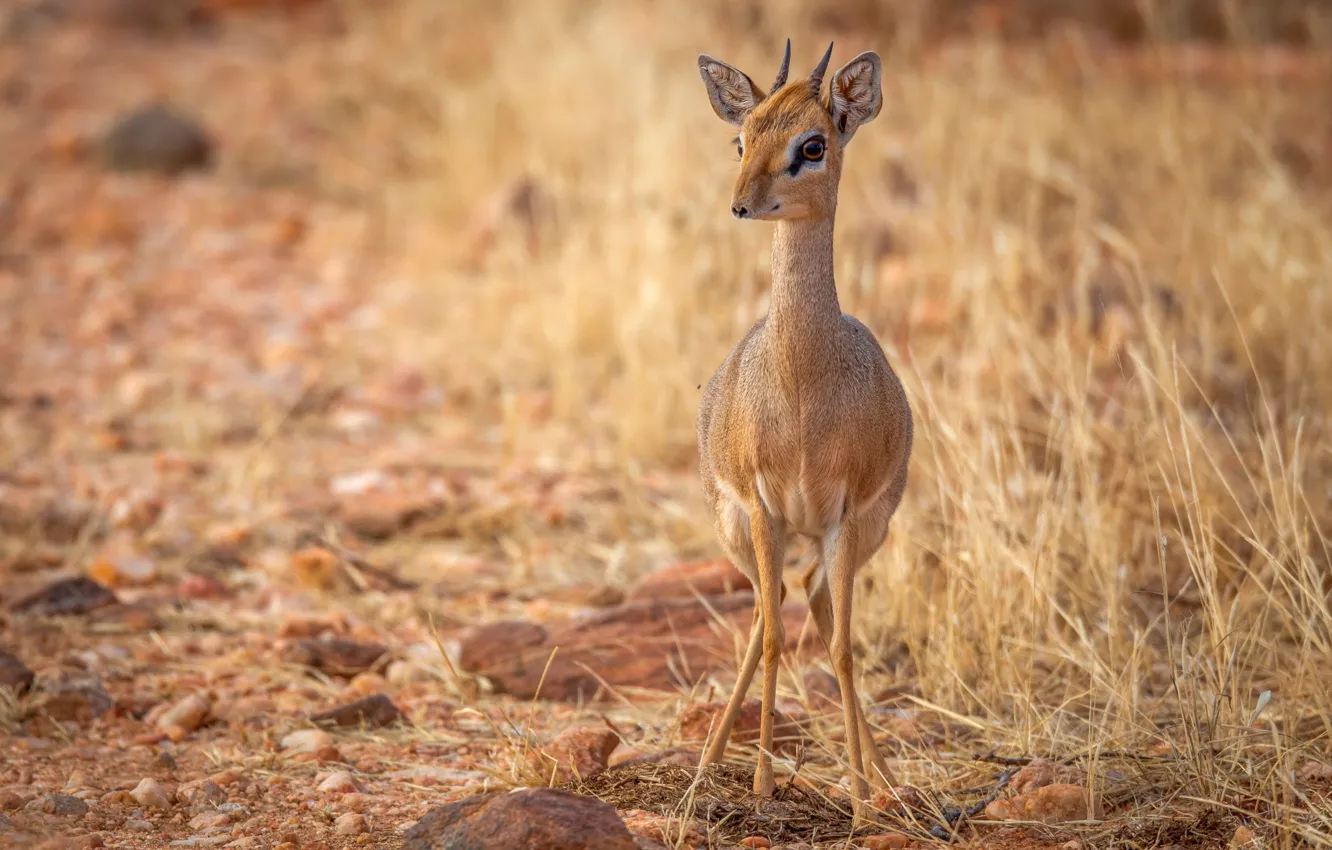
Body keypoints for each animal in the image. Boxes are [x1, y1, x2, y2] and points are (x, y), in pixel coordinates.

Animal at [694, 40, 913, 814]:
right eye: (742, 137)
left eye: (812, 145)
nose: (739, 204)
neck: (801, 388)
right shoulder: (764, 506)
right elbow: (773, 640)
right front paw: (761, 783)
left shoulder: (845, 513)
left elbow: (843, 647)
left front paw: (859, 797)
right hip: (746, 529)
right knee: (771, 612)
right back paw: (708, 765)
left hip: (852, 534)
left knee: (813, 605)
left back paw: (881, 778)